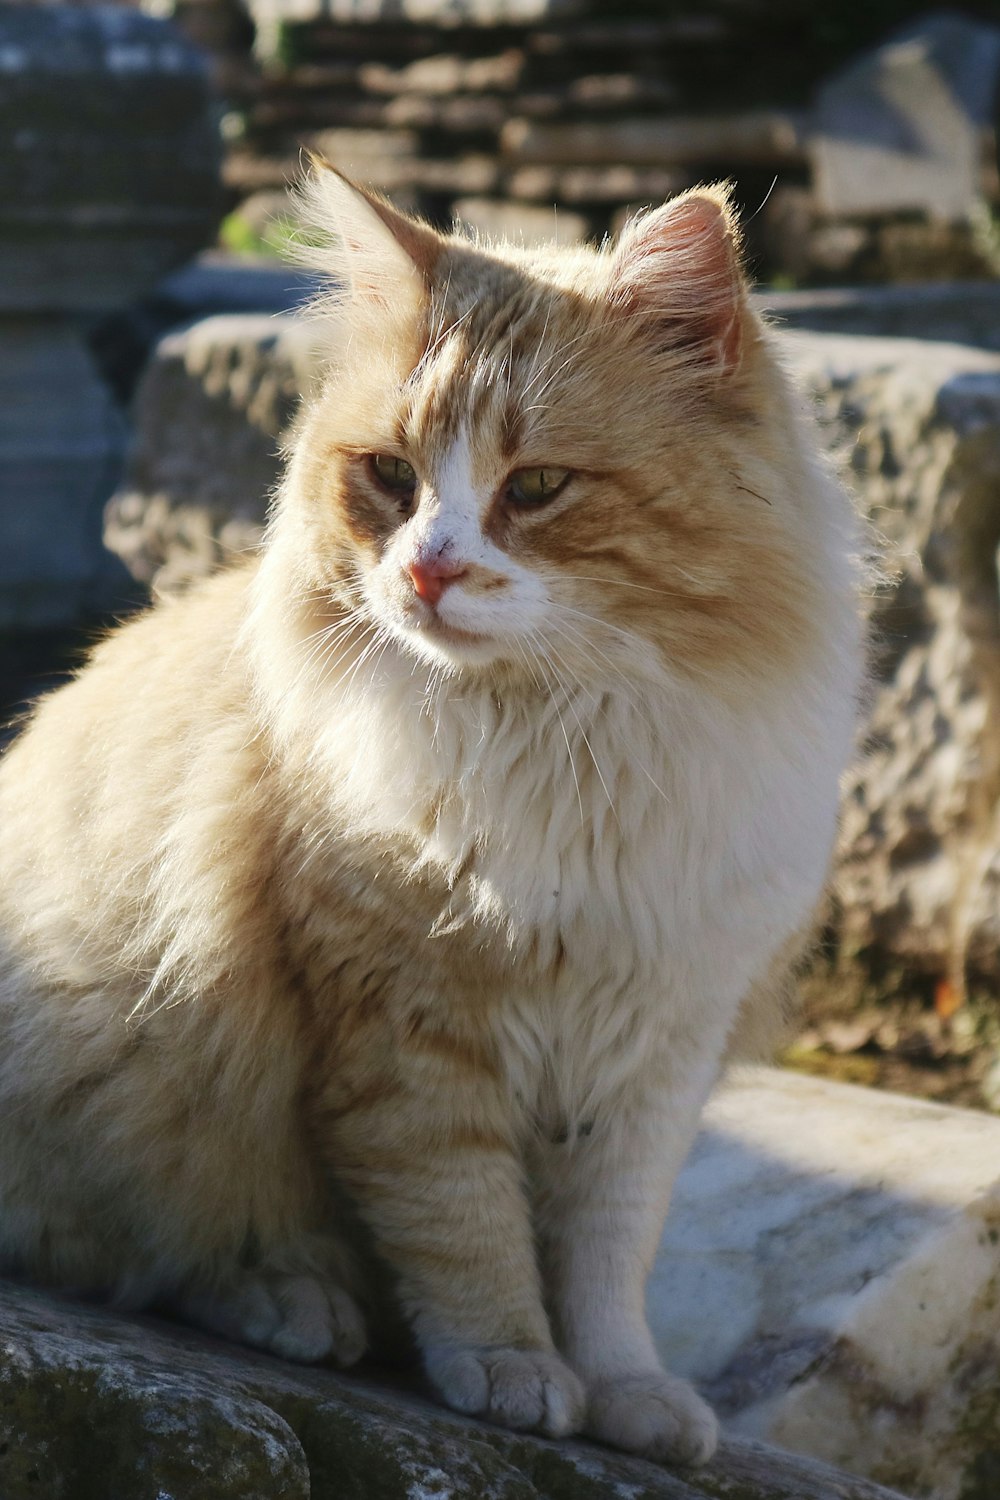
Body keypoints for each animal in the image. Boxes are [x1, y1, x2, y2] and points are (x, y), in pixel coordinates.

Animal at [0, 164, 863, 1464]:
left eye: (538, 487)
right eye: (393, 479)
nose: (426, 571)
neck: (564, 742)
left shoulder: (656, 1050)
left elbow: (608, 1256)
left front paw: (629, 1391)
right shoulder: (405, 1034)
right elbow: (465, 1230)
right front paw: (510, 1366)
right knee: (149, 1250)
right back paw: (298, 1303)